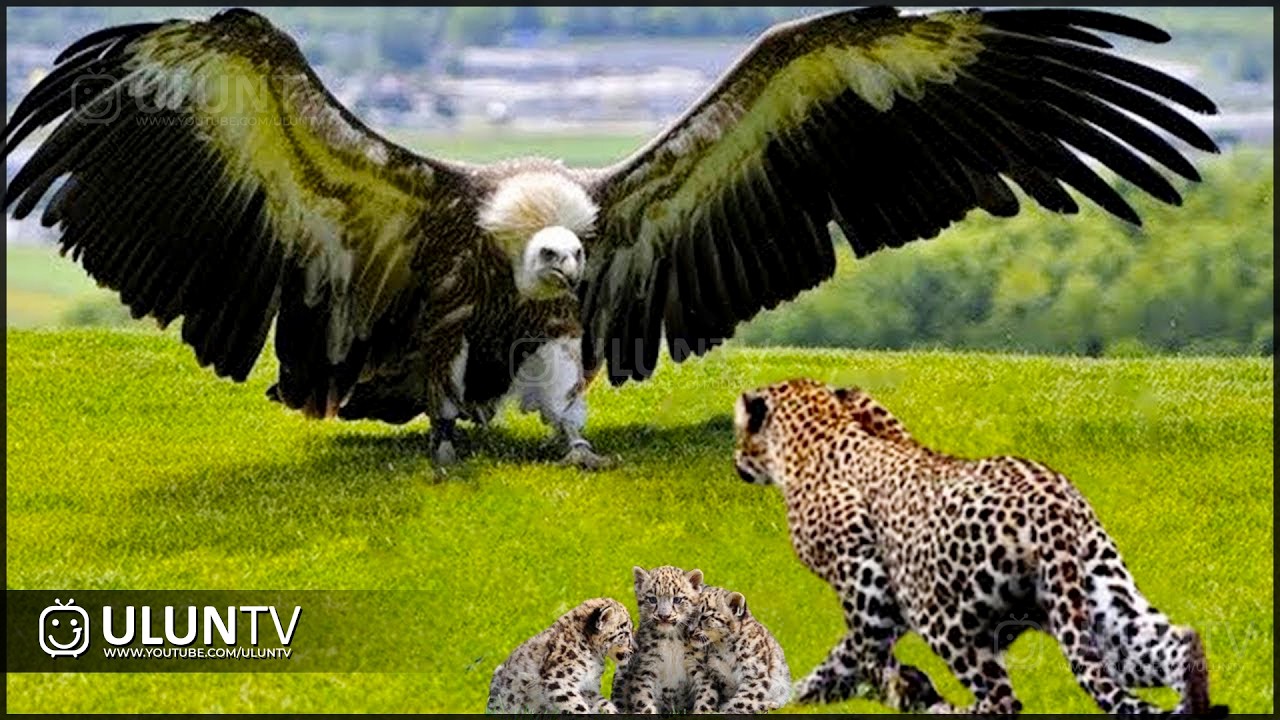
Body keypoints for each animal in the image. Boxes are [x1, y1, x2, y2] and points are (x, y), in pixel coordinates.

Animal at [487, 597, 634, 714]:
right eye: (626, 632)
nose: (633, 649)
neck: (595, 659)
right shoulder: (560, 680)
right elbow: (576, 707)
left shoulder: (588, 687)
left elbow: (602, 703)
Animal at [610, 565, 705, 713]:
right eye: (652, 599)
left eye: (677, 599)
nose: (664, 616)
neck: (671, 639)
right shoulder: (646, 668)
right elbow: (644, 701)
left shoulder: (698, 666)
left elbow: (706, 697)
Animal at [685, 585, 792, 714]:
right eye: (690, 614)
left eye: (705, 616)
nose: (690, 631)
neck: (724, 648)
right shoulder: (716, 675)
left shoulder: (754, 676)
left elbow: (740, 702)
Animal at [732, 378, 1228, 716]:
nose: (735, 460)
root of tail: (1052, 507)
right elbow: (840, 661)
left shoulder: (867, 586)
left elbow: (859, 653)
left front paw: (895, 687)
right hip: (1106, 606)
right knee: (1177, 644)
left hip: (945, 618)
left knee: (1003, 700)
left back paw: (937, 701)